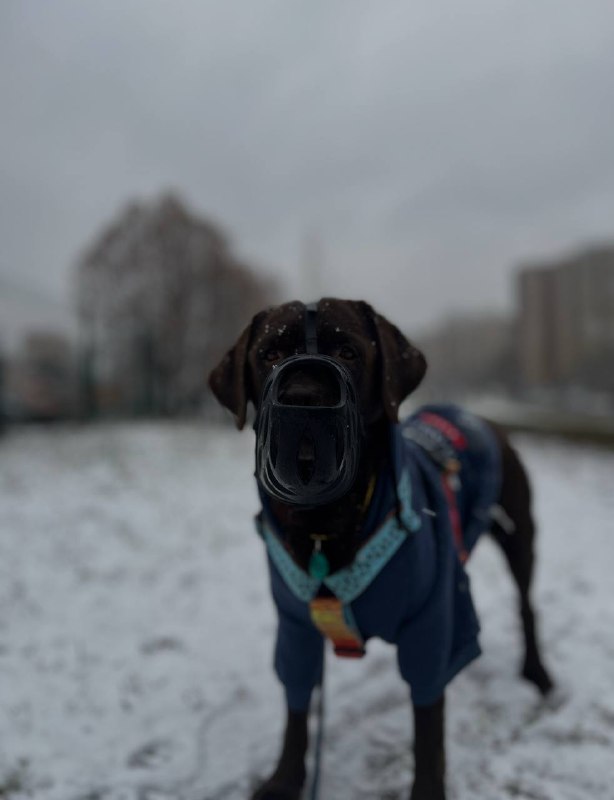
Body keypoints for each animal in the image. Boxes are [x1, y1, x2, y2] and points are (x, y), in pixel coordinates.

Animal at [209, 298, 556, 800]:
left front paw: (427, 790)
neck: (327, 524)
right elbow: (296, 707)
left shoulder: (431, 622)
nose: (304, 397)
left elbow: (428, 728)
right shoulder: (295, 628)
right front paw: (284, 780)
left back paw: (536, 672)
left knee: (527, 605)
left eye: (349, 352)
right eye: (270, 354)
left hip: (519, 536)